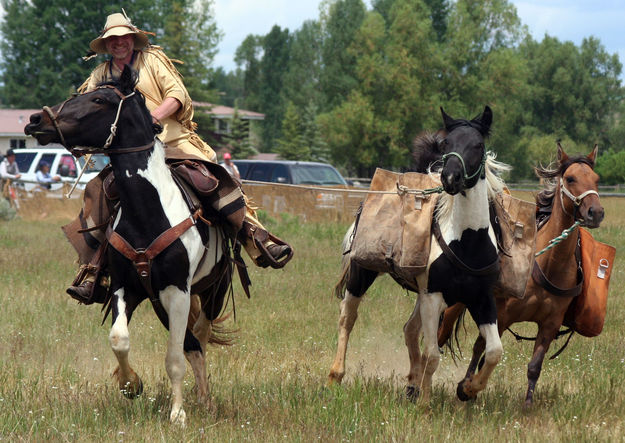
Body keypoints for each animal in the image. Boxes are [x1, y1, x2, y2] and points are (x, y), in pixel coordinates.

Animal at [25, 67, 232, 426]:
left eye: (99, 99)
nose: (37, 119)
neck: (148, 212)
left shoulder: (178, 291)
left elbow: (175, 357)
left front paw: (177, 414)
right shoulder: (127, 288)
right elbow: (119, 339)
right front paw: (130, 384)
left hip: (212, 291)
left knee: (199, 338)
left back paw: (204, 399)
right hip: (162, 302)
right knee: (193, 343)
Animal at [326, 106, 508, 402]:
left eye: (478, 145)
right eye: (447, 143)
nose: (450, 178)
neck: (467, 242)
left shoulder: (480, 298)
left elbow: (493, 351)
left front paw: (468, 388)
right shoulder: (433, 296)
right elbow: (432, 355)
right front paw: (424, 402)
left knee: (410, 330)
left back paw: (412, 382)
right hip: (362, 273)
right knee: (347, 317)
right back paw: (336, 376)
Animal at [436, 142, 604, 406]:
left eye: (596, 179)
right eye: (570, 178)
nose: (595, 212)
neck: (548, 264)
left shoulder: (549, 324)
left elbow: (534, 367)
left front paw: (527, 406)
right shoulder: (503, 316)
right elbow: (481, 348)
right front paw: (466, 388)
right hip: (455, 305)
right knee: (440, 336)